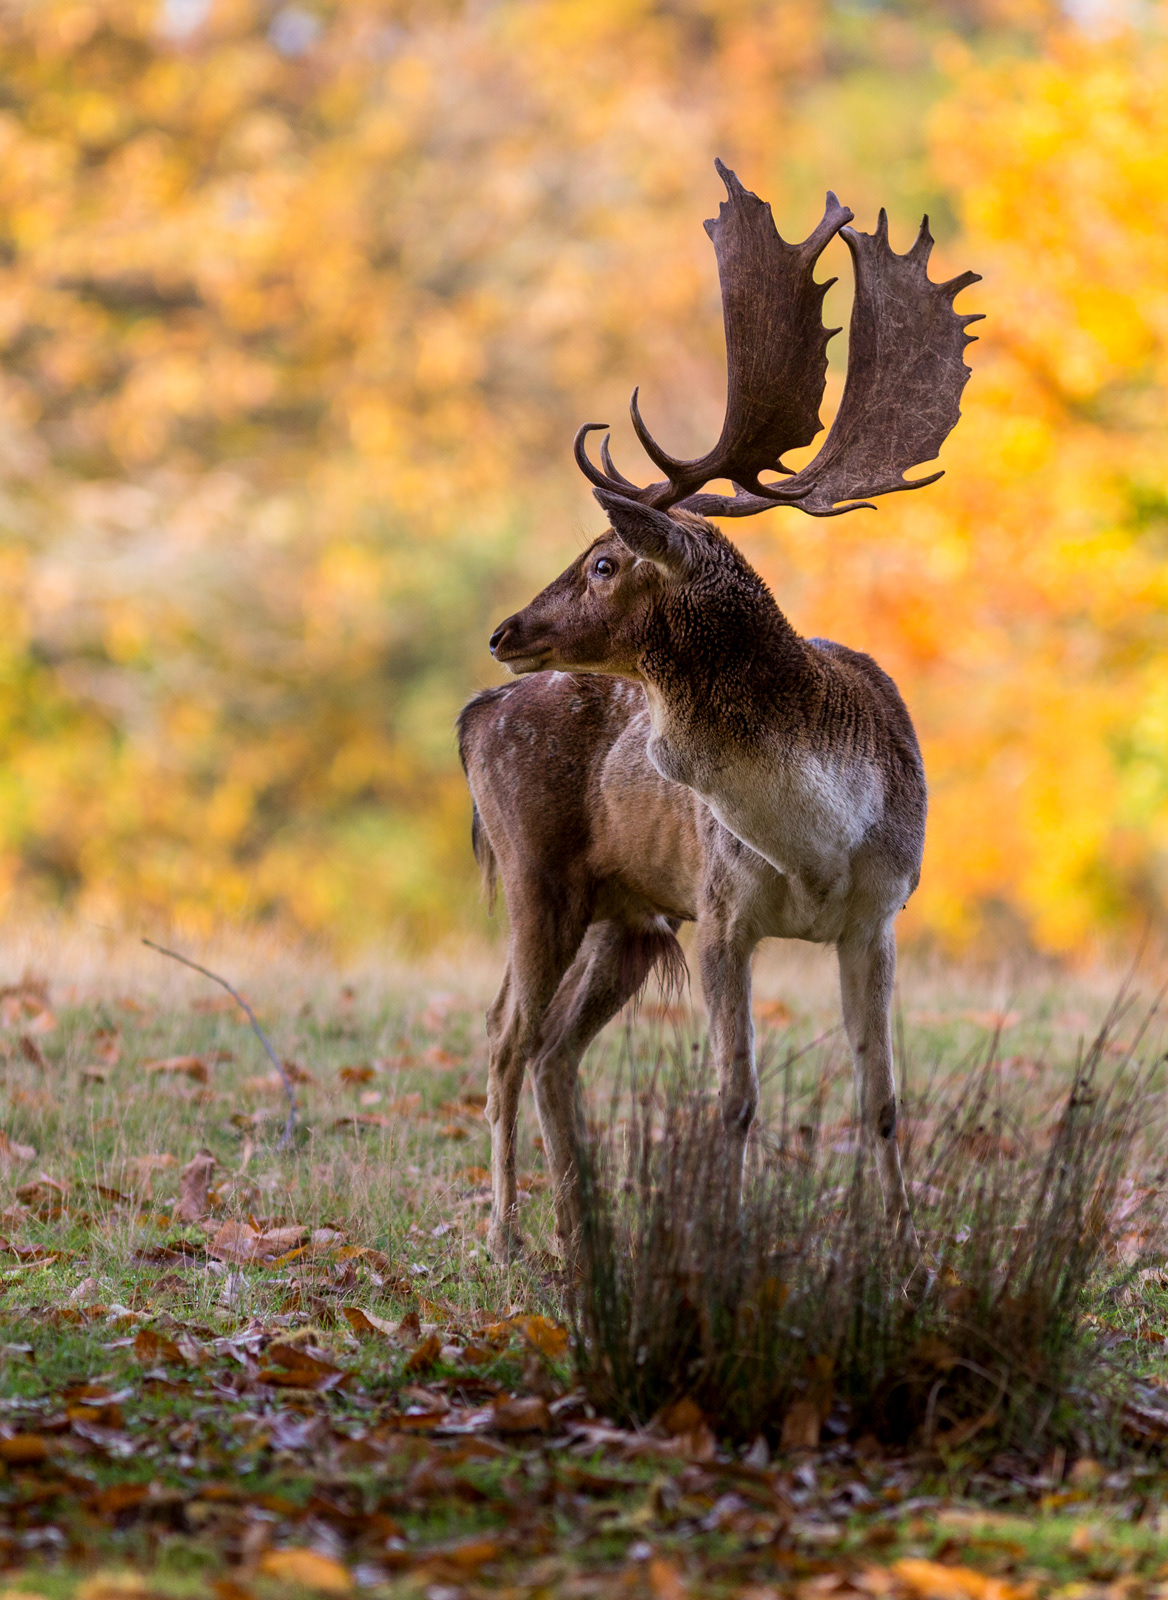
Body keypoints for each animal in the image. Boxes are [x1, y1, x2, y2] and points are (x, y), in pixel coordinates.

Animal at [458, 162, 981, 1264]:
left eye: (604, 561)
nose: (505, 628)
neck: (818, 835)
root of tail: (477, 713)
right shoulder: (721, 911)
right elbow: (733, 1100)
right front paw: (725, 1245)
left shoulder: (878, 914)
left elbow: (881, 1099)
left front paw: (902, 1248)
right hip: (536, 873)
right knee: (505, 1036)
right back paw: (506, 1234)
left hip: (626, 915)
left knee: (554, 1047)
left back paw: (583, 1228)